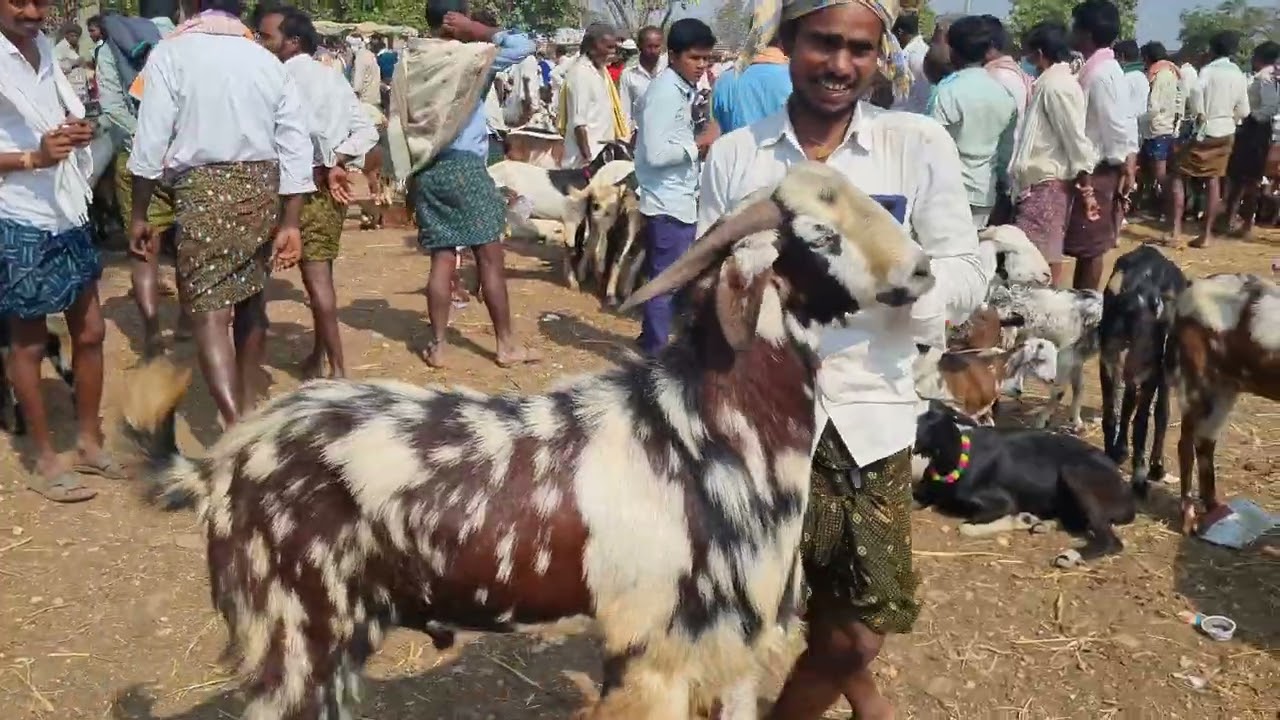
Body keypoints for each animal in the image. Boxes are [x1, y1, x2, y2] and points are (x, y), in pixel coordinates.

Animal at [117, 161, 936, 720]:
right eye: (820, 237)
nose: (925, 270)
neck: (705, 430)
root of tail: (219, 467)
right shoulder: (663, 643)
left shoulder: (722, 646)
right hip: (293, 633)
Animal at [914, 400, 1136, 567]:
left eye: (933, 421)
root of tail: (1125, 491)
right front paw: (1027, 519)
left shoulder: (1001, 501)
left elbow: (966, 526)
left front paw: (1020, 519)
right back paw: (1041, 524)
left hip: (1076, 475)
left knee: (1111, 541)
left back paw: (1069, 554)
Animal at [988, 284, 1103, 431]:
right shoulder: (1065, 357)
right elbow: (1060, 391)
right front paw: (1042, 421)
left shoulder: (1076, 360)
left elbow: (1079, 387)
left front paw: (1077, 421)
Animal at [1099, 246, 1187, 497]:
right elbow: (1158, 414)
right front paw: (1153, 469)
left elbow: (1126, 407)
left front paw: (1120, 451)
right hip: (1146, 367)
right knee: (1144, 419)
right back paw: (1141, 475)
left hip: (1115, 361)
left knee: (1116, 411)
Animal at [1170, 273, 1280, 536]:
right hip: (1196, 383)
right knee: (1185, 445)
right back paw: (1189, 515)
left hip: (1225, 389)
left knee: (1205, 442)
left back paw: (1215, 509)